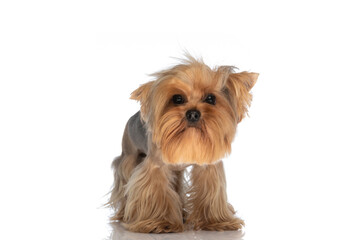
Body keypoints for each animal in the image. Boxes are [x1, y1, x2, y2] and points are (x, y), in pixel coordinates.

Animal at [107, 54, 258, 232]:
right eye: (177, 98)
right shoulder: (155, 166)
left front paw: (216, 221)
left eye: (211, 98)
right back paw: (124, 214)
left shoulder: (208, 167)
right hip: (129, 155)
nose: (193, 113)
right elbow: (156, 189)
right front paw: (160, 223)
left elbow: (210, 190)